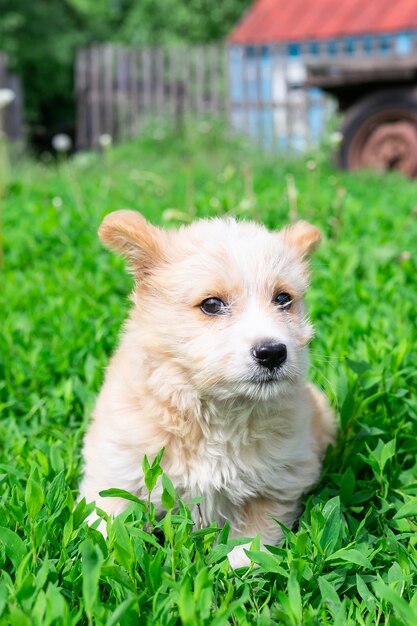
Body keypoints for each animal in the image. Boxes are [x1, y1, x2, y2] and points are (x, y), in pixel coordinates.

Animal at [79, 210, 334, 564]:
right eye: (211, 304)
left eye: (283, 299)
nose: (273, 352)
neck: (216, 414)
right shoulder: (115, 470)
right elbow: (106, 527)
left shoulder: (275, 487)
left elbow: (248, 549)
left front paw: (233, 573)